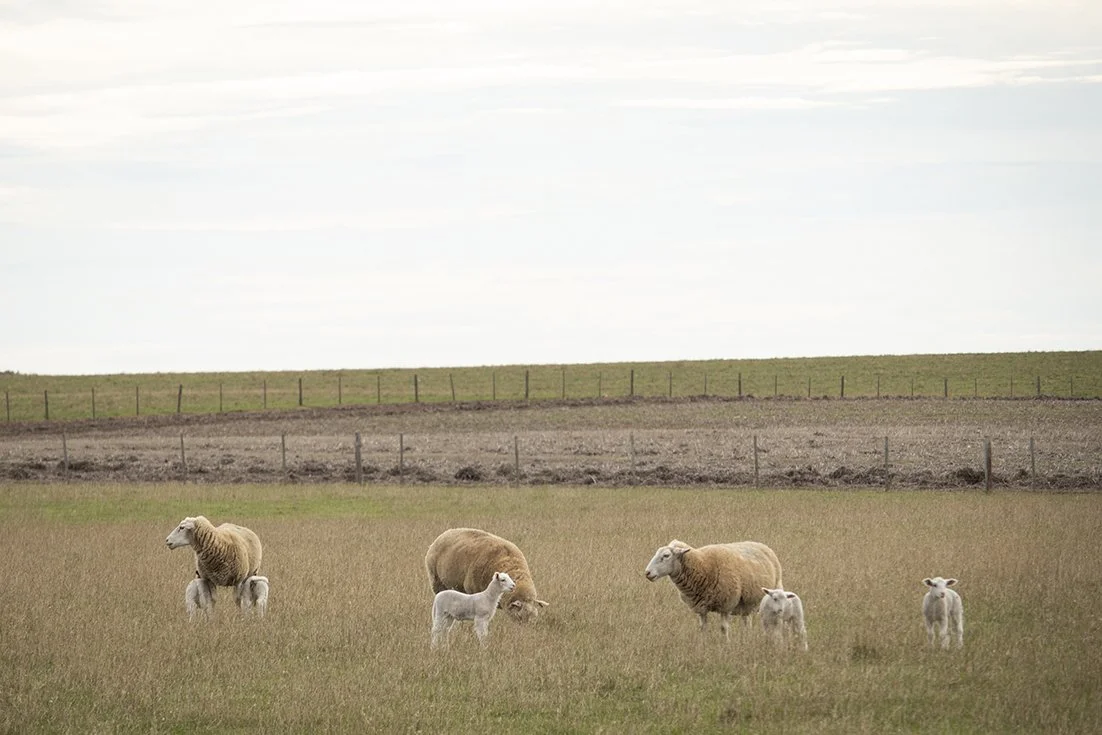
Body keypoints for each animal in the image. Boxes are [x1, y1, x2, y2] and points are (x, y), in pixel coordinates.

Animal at [644, 539, 783, 639]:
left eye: (666, 555)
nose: (647, 573)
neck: (702, 566)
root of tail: (762, 545)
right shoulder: (701, 608)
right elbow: (703, 628)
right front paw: (703, 644)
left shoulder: (726, 605)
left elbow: (723, 628)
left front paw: (725, 644)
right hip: (747, 603)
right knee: (747, 621)